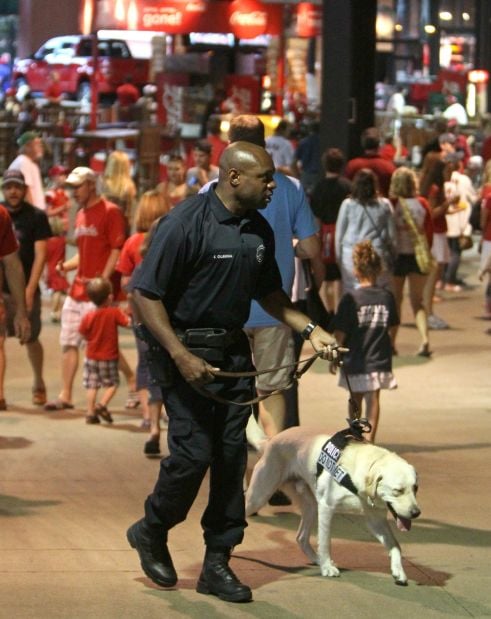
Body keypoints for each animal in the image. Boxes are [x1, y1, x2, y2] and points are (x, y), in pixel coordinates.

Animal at [248, 426, 420, 588]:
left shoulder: (375, 520)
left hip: (311, 506)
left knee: (301, 537)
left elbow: (395, 546)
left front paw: (398, 571)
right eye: (398, 490)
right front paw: (327, 568)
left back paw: (317, 559)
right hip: (258, 497)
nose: (416, 513)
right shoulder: (326, 507)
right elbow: (325, 542)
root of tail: (270, 441)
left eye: (415, 488)